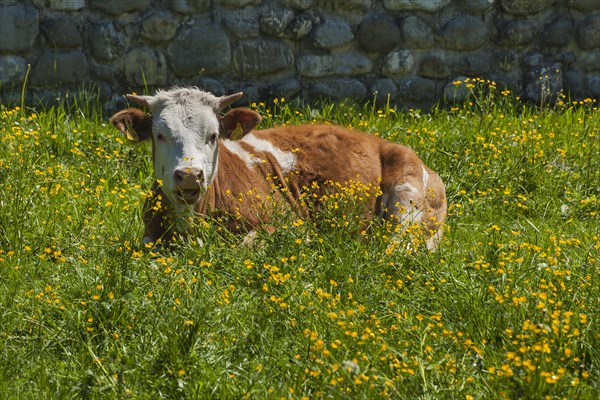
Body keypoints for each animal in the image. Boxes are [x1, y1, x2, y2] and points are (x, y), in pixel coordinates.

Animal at [111, 88, 446, 250]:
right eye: (159, 135)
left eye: (213, 135)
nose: (190, 175)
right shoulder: (149, 236)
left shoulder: (285, 225)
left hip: (408, 197)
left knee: (399, 245)